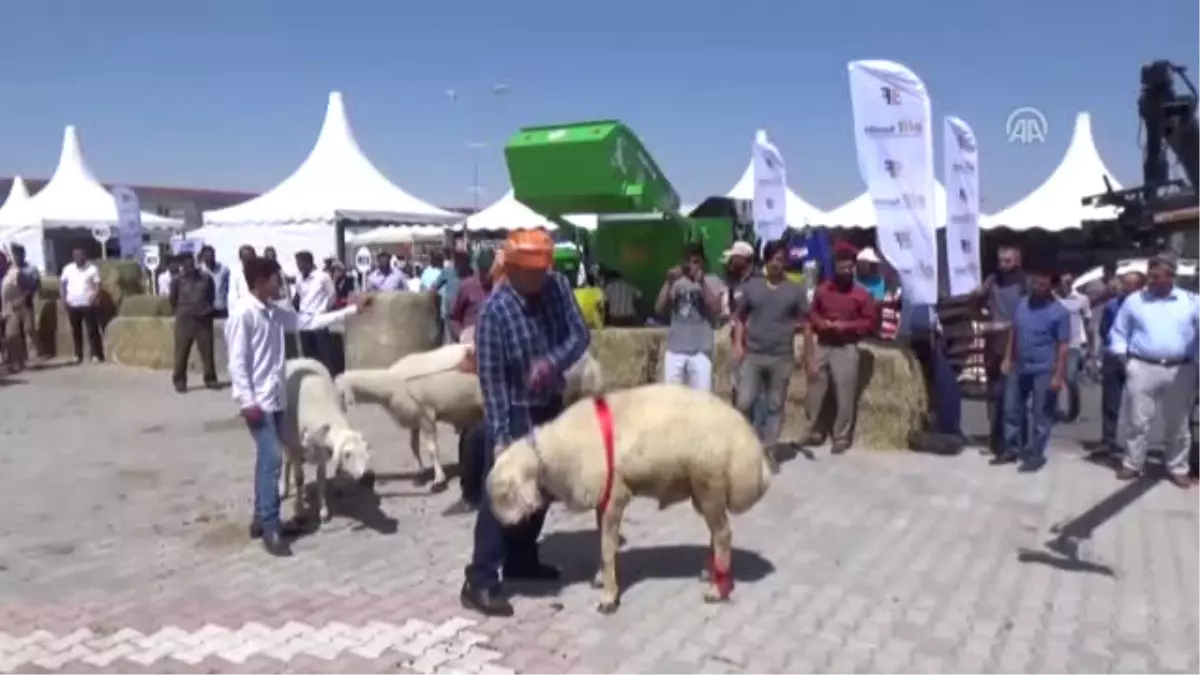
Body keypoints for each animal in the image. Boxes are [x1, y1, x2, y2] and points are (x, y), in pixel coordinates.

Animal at [280, 357, 374, 521]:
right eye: (347, 454)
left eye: (365, 451)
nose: (367, 476)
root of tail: (299, 358)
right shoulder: (295, 449)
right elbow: (299, 479)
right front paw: (300, 510)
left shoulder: (323, 454)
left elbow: (321, 480)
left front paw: (323, 510)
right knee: (286, 461)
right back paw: (284, 489)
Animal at [487, 384, 777, 610]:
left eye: (504, 494)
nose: (502, 525)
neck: (554, 455)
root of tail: (754, 449)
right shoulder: (602, 495)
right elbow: (603, 542)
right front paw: (602, 579)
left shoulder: (616, 494)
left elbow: (607, 547)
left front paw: (608, 598)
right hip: (702, 490)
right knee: (716, 533)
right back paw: (711, 573)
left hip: (710, 482)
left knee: (723, 533)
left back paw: (717, 590)